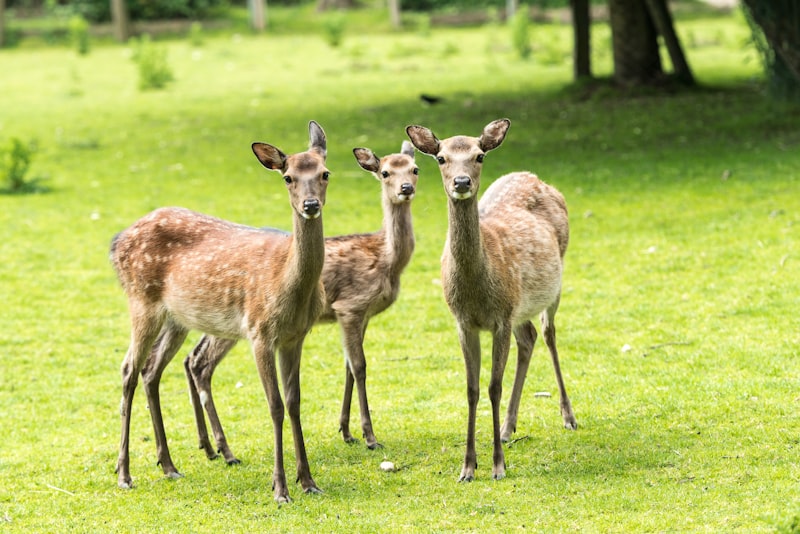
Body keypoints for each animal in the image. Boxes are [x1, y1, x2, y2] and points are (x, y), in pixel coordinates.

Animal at [109, 119, 328, 504]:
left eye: (325, 173)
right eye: (287, 177)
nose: (311, 204)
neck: (288, 285)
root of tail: (115, 243)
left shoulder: (295, 337)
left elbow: (295, 402)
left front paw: (308, 481)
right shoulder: (259, 331)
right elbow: (275, 404)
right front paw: (280, 488)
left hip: (177, 319)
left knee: (151, 370)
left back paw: (168, 465)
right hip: (141, 301)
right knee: (128, 370)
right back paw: (124, 474)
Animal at [182, 141, 418, 464]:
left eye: (415, 168)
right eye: (385, 172)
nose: (406, 188)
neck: (387, 260)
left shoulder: (363, 314)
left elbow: (348, 366)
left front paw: (347, 431)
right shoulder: (351, 305)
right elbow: (359, 366)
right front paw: (370, 436)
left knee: (192, 357)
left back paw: (208, 446)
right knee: (201, 362)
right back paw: (223, 449)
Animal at [406, 118, 576, 486]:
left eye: (479, 155)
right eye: (440, 158)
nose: (461, 182)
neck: (476, 290)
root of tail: (536, 178)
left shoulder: (500, 318)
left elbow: (493, 387)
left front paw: (497, 466)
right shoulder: (463, 322)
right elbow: (471, 388)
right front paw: (467, 467)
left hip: (553, 285)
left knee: (549, 334)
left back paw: (568, 415)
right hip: (520, 309)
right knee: (528, 337)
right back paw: (509, 428)